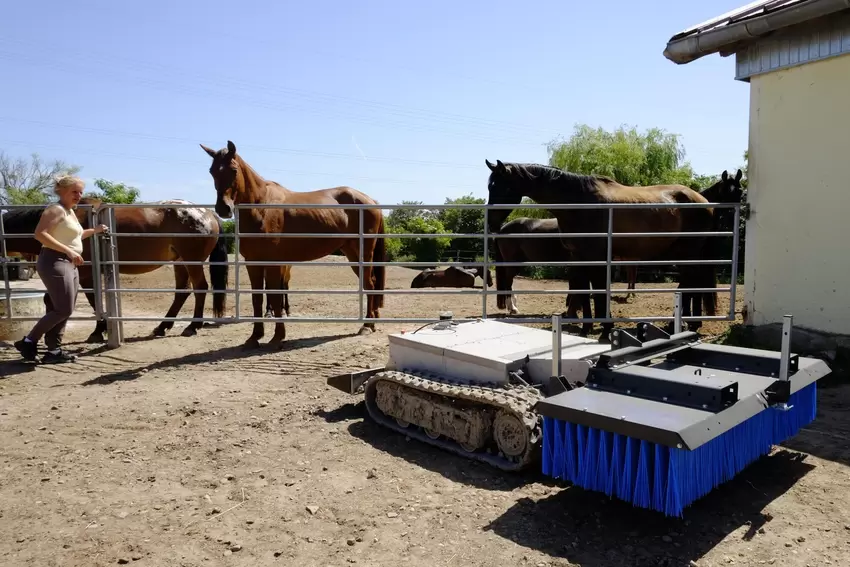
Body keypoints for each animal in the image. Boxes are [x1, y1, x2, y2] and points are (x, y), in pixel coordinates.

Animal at [1, 197, 230, 342]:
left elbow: (94, 302)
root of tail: (208, 213)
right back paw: (162, 326)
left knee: (200, 288)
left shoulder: (86, 275)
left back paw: (192, 326)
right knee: (182, 292)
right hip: (180, 263)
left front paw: (97, 332)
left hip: (192, 261)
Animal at [200, 140, 386, 349]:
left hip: (363, 253)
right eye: (212, 171)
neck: (261, 208)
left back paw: (367, 325)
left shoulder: (273, 263)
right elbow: (257, 298)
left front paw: (277, 336)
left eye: (233, 170)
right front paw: (255, 336)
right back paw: (371, 320)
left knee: (370, 284)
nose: (223, 208)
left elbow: (275, 297)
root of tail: (370, 201)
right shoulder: (253, 263)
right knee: (369, 283)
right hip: (351, 253)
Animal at [484, 160, 717, 342]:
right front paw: (586, 327)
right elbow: (583, 292)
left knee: (689, 283)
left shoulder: (596, 258)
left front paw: (605, 329)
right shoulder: (579, 258)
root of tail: (704, 201)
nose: (491, 222)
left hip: (687, 252)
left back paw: (681, 324)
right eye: (490, 187)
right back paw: (687, 324)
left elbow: (597, 292)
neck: (579, 203)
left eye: (501, 187)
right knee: (690, 284)